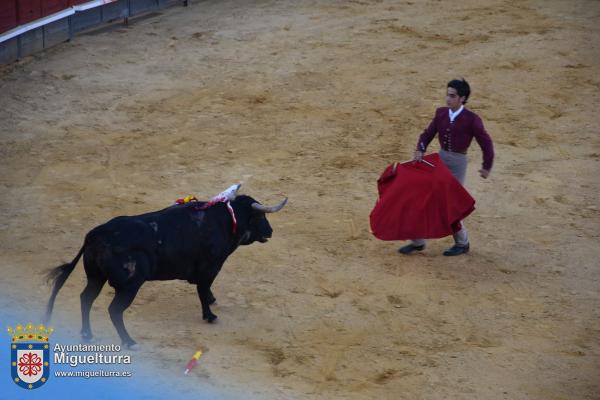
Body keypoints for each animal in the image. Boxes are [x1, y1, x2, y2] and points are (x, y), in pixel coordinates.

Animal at [44, 194, 286, 346]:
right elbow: (203, 290)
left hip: (96, 277)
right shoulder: (211, 267)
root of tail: (95, 235)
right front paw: (209, 315)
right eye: (261, 216)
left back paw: (87, 335)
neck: (226, 219)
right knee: (114, 310)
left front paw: (212, 302)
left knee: (86, 298)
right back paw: (129, 342)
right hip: (129, 286)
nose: (271, 231)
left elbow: (205, 290)